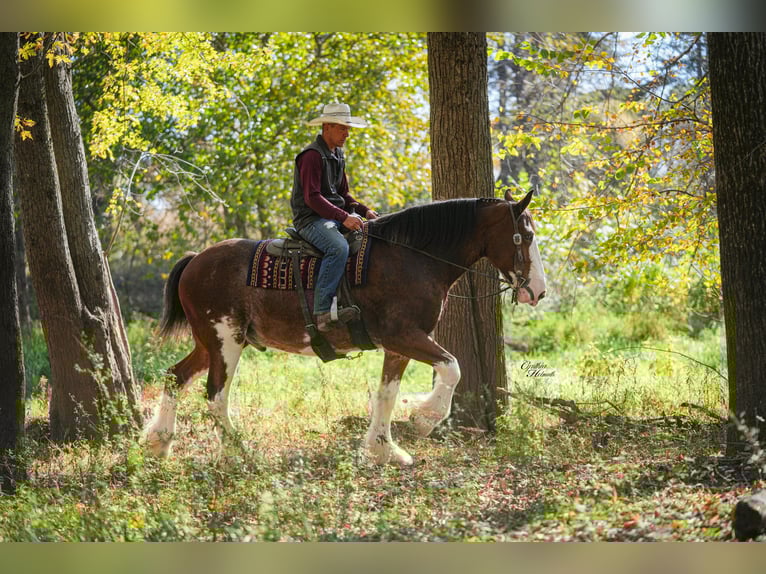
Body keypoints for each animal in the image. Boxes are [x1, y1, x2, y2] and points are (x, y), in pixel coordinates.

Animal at [144, 189, 546, 465]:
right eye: (525, 237)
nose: (539, 291)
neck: (412, 258)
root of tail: (196, 259)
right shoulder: (405, 336)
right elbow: (452, 368)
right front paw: (424, 419)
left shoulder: (399, 345)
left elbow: (386, 395)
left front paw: (383, 450)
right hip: (225, 341)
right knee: (215, 395)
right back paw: (240, 452)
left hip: (210, 342)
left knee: (175, 376)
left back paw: (159, 441)